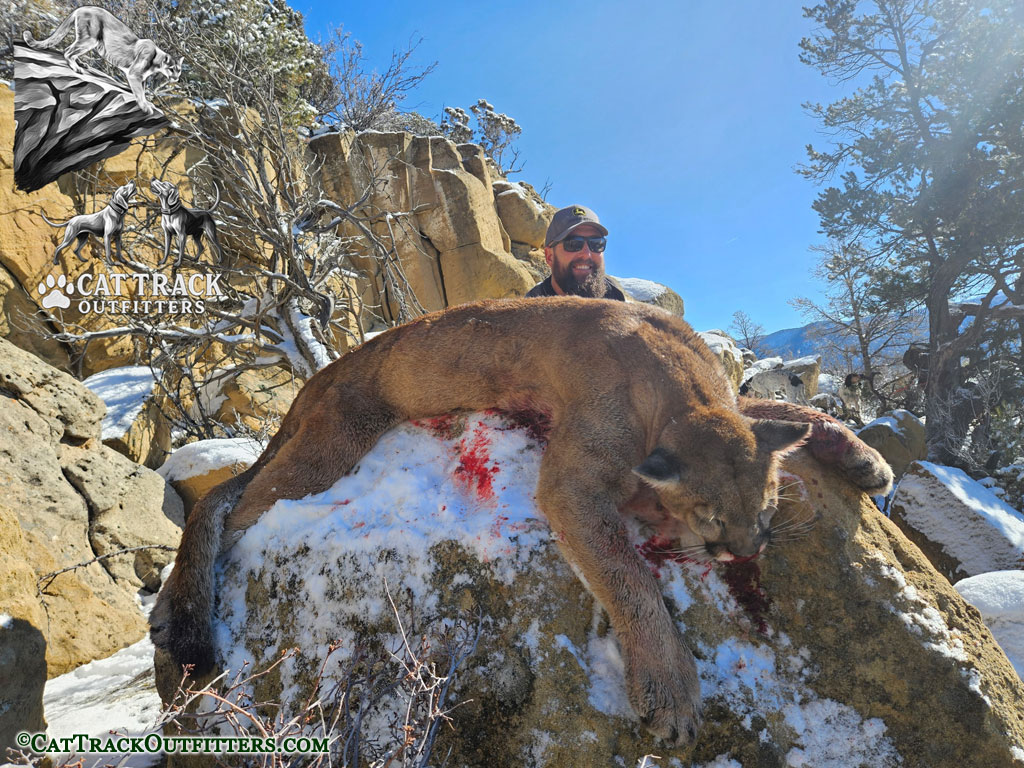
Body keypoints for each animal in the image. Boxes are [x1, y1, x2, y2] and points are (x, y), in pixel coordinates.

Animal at [151, 298, 892, 745]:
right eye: (709, 518)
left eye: (764, 511)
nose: (742, 553)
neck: (678, 387)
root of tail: (317, 374)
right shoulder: (572, 481)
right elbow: (625, 574)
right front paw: (671, 688)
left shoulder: (729, 407)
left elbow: (785, 410)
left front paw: (864, 457)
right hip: (334, 445)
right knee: (231, 506)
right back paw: (170, 614)